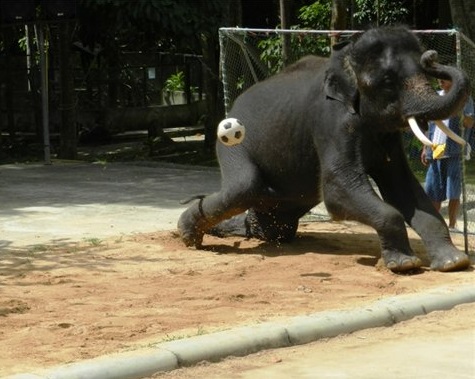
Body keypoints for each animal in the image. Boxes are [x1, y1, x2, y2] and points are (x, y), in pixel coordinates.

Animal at [178, 26, 472, 274]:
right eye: (388, 80)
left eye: (424, 69)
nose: (431, 56)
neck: (346, 57)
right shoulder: (331, 121)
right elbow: (338, 189)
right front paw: (405, 265)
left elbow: (403, 188)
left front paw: (454, 263)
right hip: (232, 145)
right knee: (243, 187)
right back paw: (187, 235)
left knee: (273, 226)